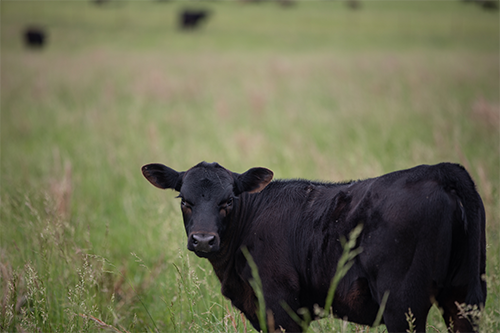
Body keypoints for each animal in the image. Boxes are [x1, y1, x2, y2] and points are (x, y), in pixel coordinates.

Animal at [143, 160, 486, 330]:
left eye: (229, 200)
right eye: (184, 200)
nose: (203, 239)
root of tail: (439, 170)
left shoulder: (280, 305)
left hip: (403, 303)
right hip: (462, 299)